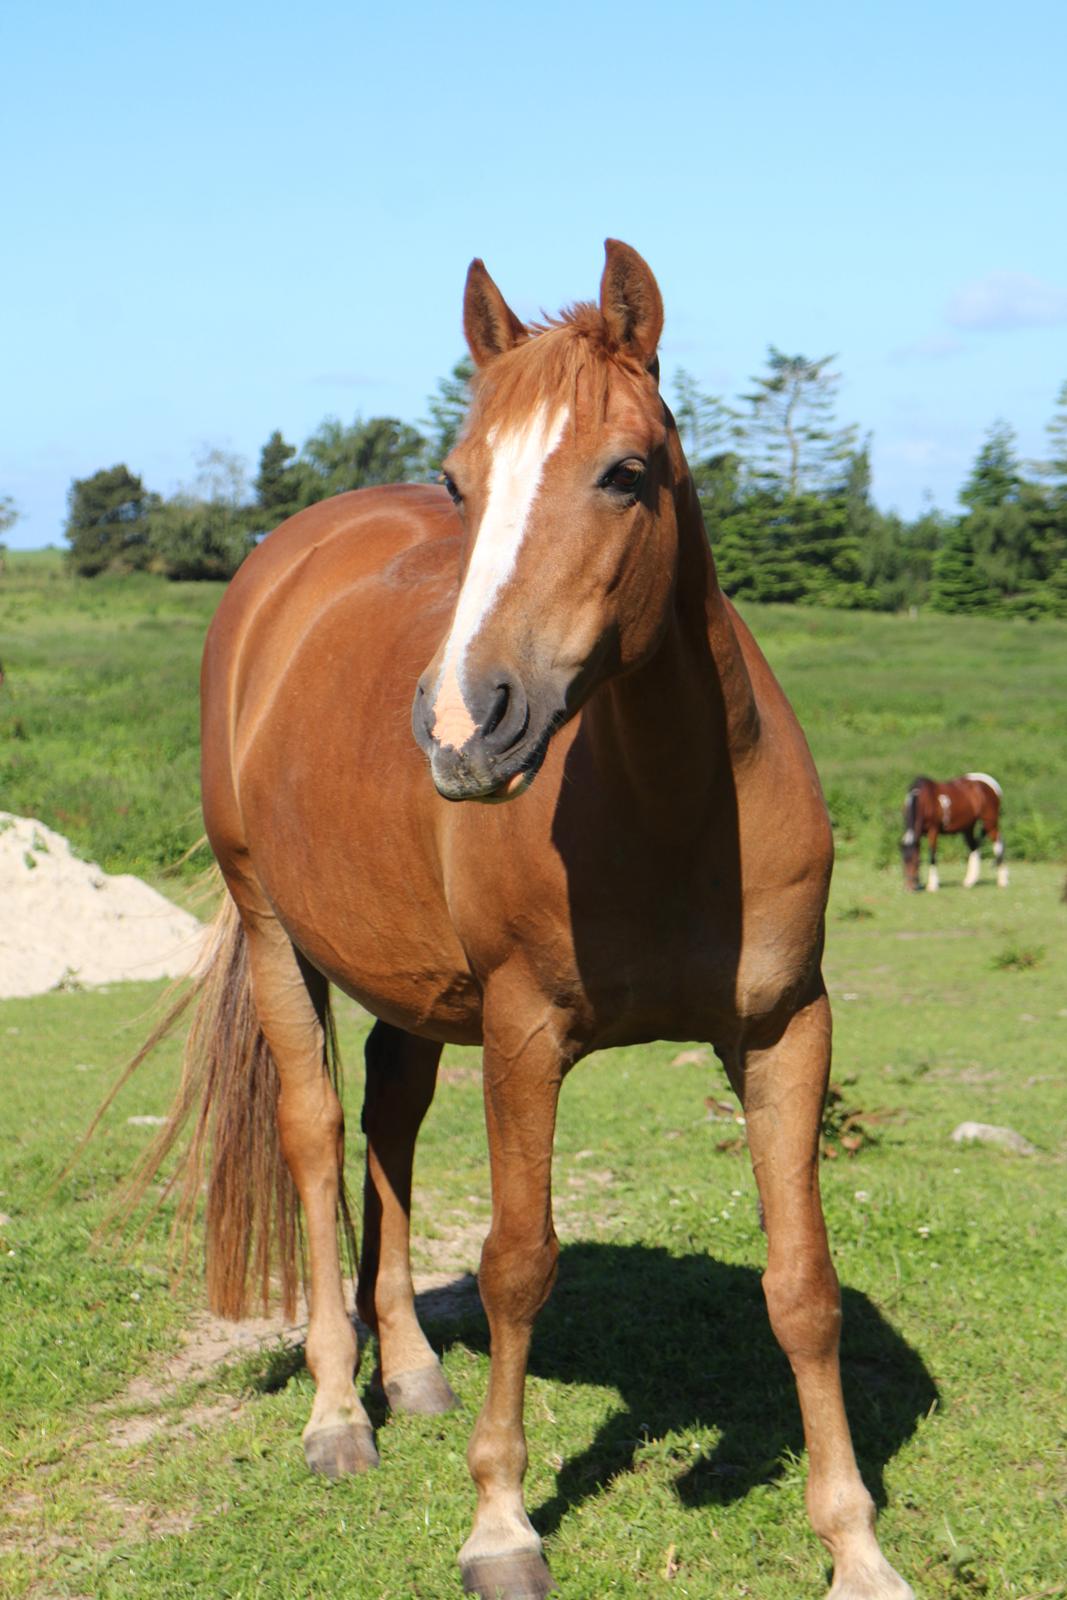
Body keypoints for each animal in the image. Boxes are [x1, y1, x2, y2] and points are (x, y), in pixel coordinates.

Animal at [137, 243, 915, 1593]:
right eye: (461, 483)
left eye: (626, 472)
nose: (463, 727)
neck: (670, 804)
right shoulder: (523, 1033)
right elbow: (515, 1262)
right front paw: (500, 1520)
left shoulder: (783, 1030)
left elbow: (802, 1283)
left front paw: (853, 1543)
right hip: (276, 933)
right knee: (314, 1136)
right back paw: (338, 1413)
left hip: (406, 979)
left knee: (387, 1127)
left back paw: (406, 1368)